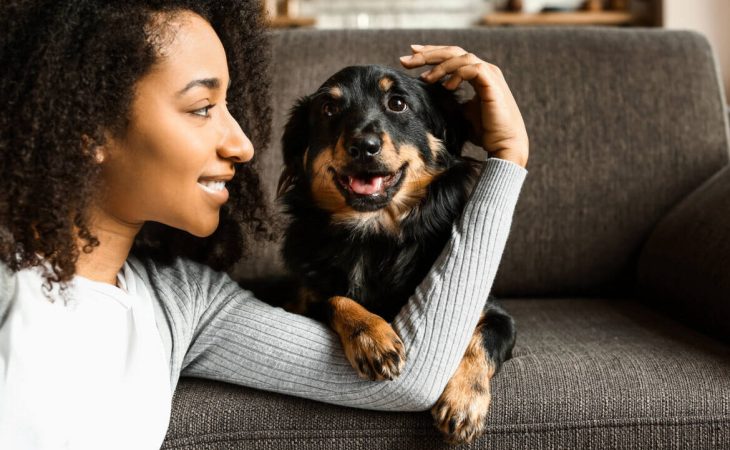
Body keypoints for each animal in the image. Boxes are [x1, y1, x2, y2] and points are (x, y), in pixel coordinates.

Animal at [276, 65, 516, 444]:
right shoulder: (301, 298)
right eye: (329, 109)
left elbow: (481, 342)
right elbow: (334, 298)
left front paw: (464, 402)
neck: (373, 235)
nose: (363, 146)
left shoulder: (496, 315)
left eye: (398, 104)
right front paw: (372, 337)